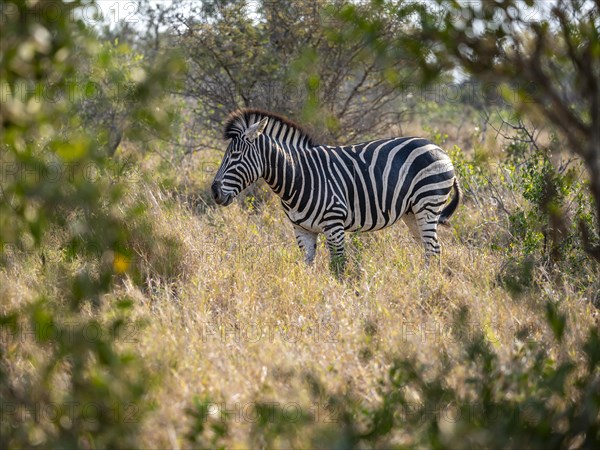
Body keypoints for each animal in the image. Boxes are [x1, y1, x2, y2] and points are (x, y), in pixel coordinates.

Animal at [210, 108, 460, 274]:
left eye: (235, 156)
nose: (214, 192)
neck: (298, 175)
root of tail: (438, 148)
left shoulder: (334, 225)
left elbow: (338, 268)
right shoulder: (302, 230)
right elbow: (308, 268)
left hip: (427, 204)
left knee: (433, 248)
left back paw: (428, 285)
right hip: (411, 213)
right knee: (430, 248)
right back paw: (424, 280)